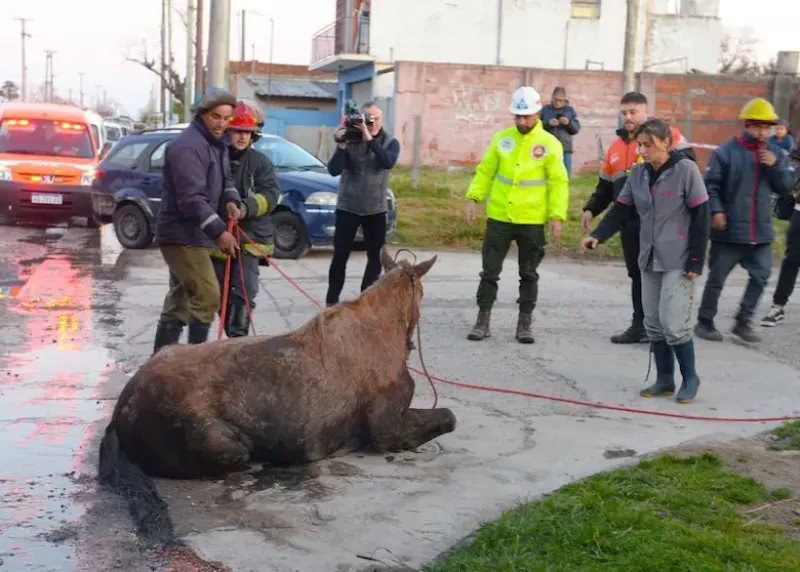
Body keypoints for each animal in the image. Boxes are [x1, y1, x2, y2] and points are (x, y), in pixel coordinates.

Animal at [97, 247, 456, 544]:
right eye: (422, 293)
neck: (381, 332)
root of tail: (121, 412)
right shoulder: (385, 431)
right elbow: (449, 417)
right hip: (227, 447)